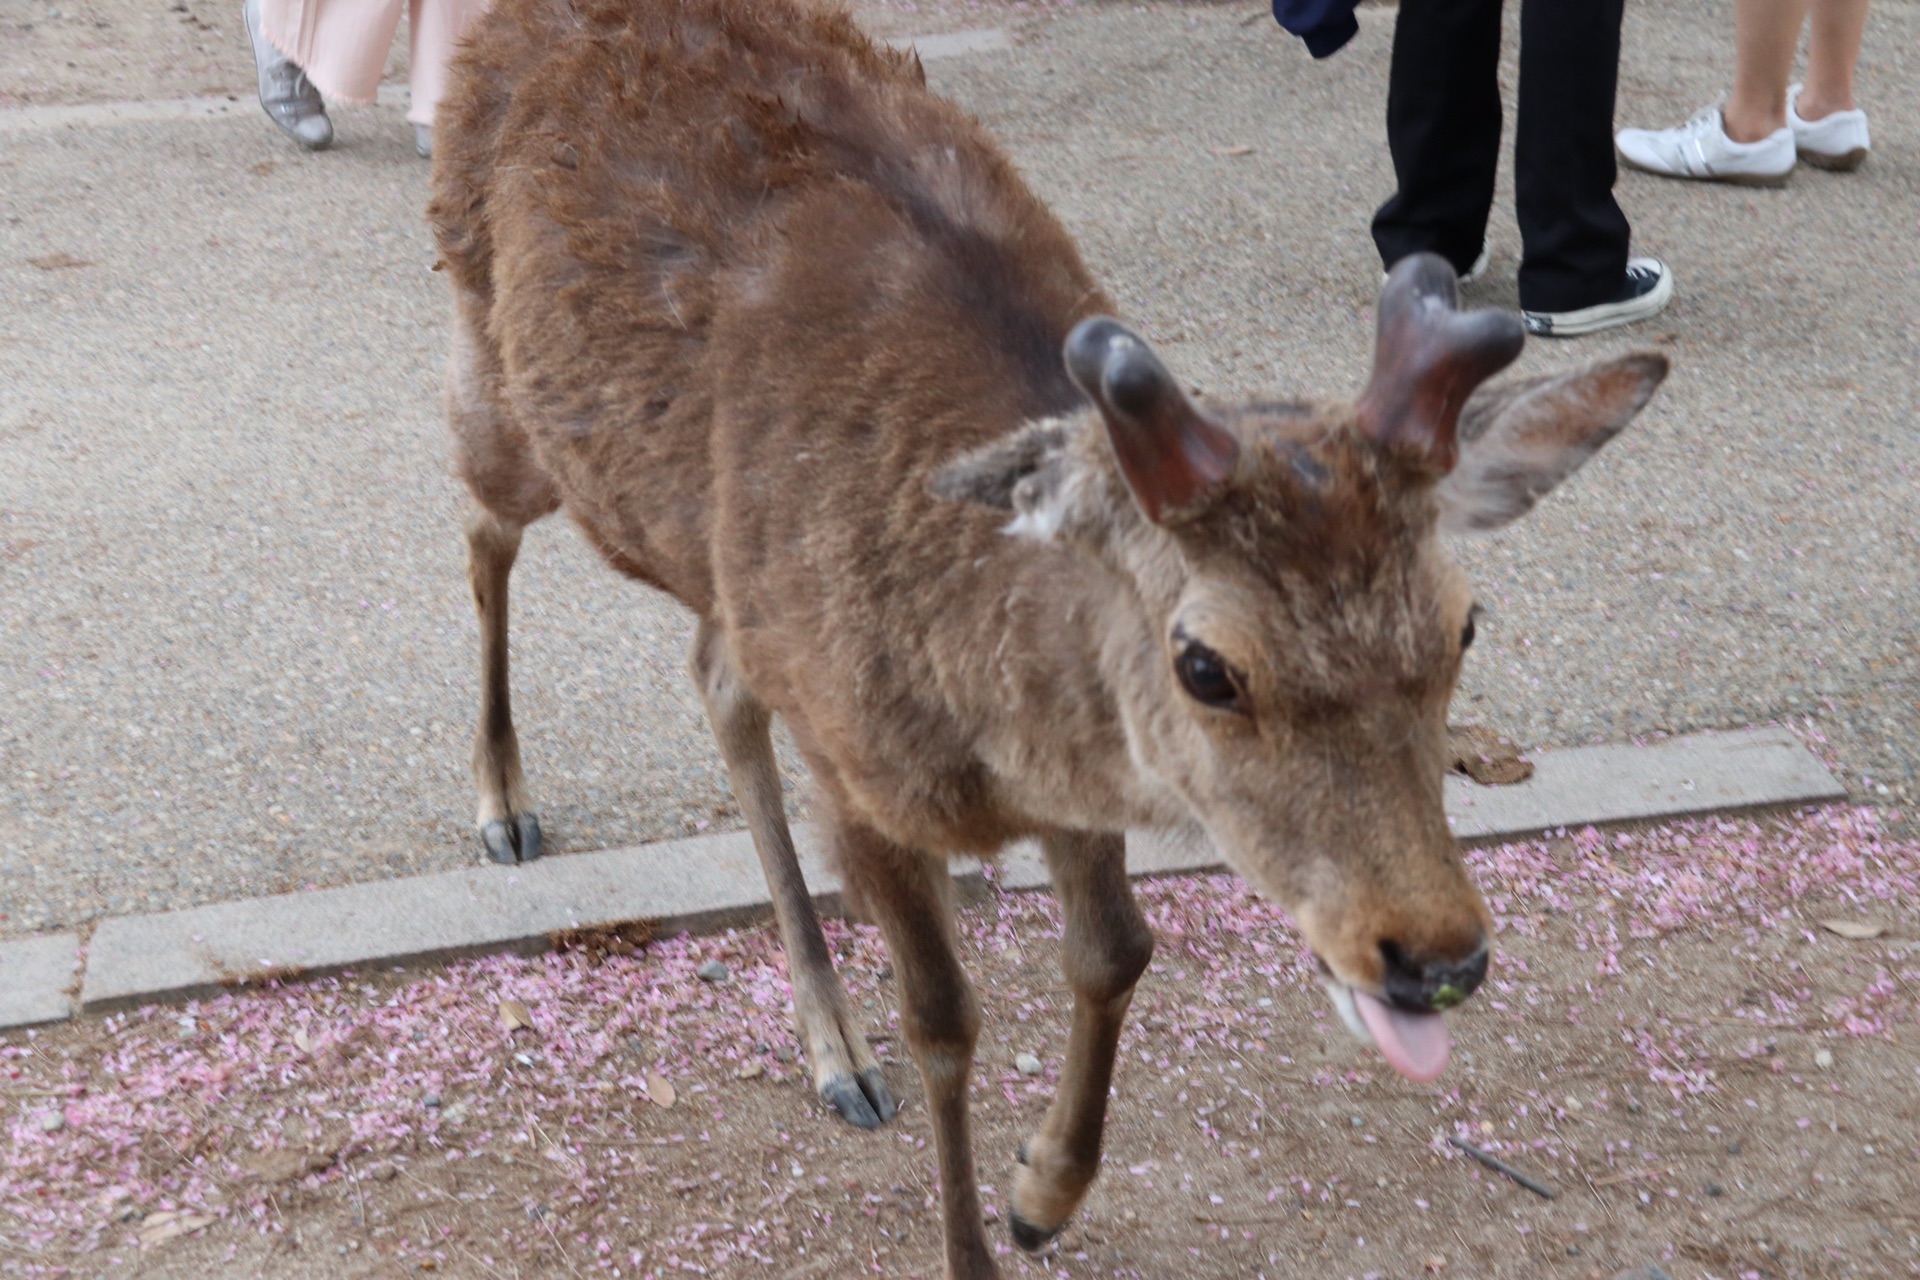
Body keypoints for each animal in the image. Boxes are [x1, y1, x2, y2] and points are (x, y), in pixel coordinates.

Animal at [428, 0, 1674, 1274]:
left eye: (1465, 620)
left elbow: (1117, 948)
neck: (991, 725)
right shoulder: (854, 768)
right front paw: (973, 1236)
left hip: (725, 573)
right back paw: (505, 804)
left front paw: (1042, 1190)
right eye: (1207, 665)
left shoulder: (1075, 778)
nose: (1437, 956)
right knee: (477, 522)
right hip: (501, 378)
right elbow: (943, 1019)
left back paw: (833, 1044)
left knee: (712, 671)